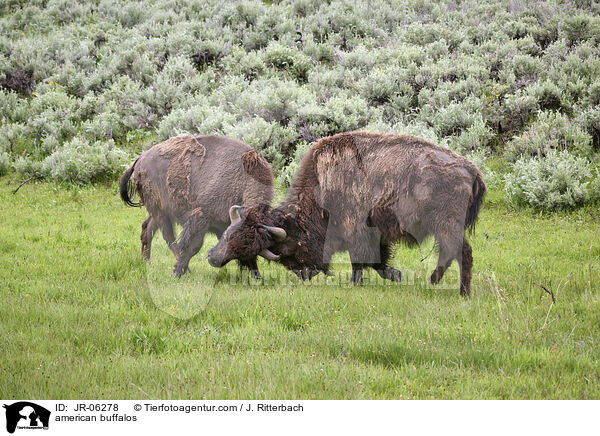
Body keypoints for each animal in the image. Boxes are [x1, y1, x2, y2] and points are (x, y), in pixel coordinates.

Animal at [120, 135, 274, 276]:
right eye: (228, 238)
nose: (213, 259)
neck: (242, 179)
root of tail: (140, 159)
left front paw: (255, 274)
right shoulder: (201, 219)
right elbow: (194, 246)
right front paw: (177, 271)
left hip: (160, 211)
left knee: (148, 229)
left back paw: (146, 261)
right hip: (160, 211)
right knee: (169, 237)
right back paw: (185, 269)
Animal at [209, 131, 486, 294]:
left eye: (289, 247)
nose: (304, 274)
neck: (322, 184)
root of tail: (471, 170)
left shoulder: (357, 228)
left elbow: (359, 259)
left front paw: (357, 283)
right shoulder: (377, 235)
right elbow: (377, 261)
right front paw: (395, 275)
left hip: (446, 225)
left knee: (461, 252)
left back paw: (456, 289)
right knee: (453, 252)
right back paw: (439, 283)